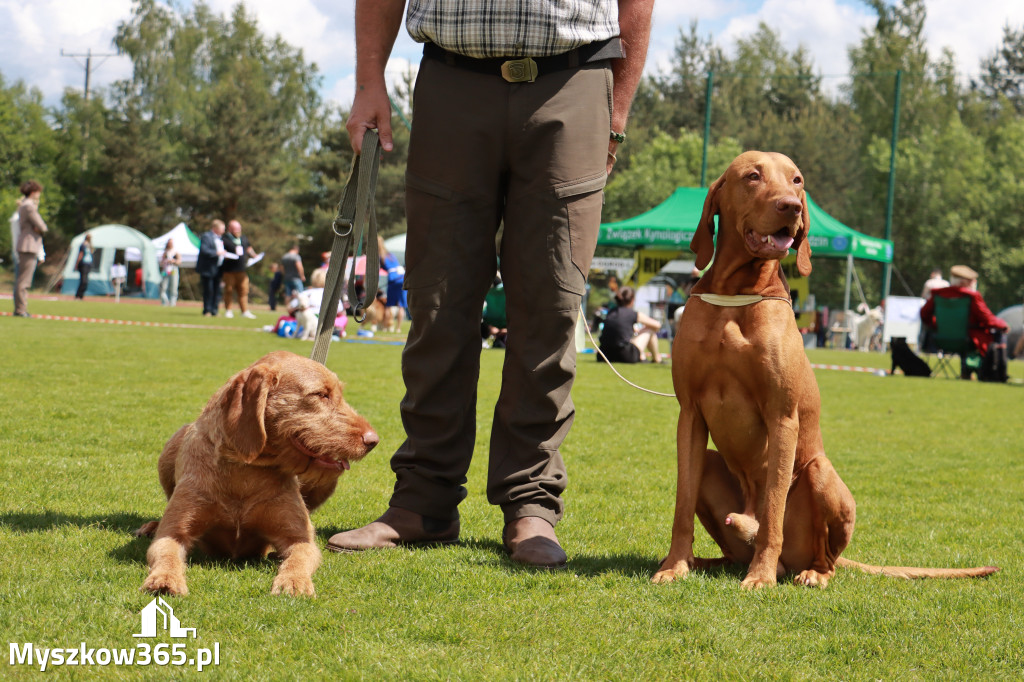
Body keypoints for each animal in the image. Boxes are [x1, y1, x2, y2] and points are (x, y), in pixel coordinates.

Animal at [651, 151, 995, 585]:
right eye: (753, 176)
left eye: (797, 180)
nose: (792, 207)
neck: (736, 293)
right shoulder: (691, 415)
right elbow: (682, 504)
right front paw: (675, 564)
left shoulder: (783, 417)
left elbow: (774, 510)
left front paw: (760, 577)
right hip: (715, 464)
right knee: (733, 548)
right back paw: (707, 562)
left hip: (820, 473)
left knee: (820, 553)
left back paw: (807, 572)